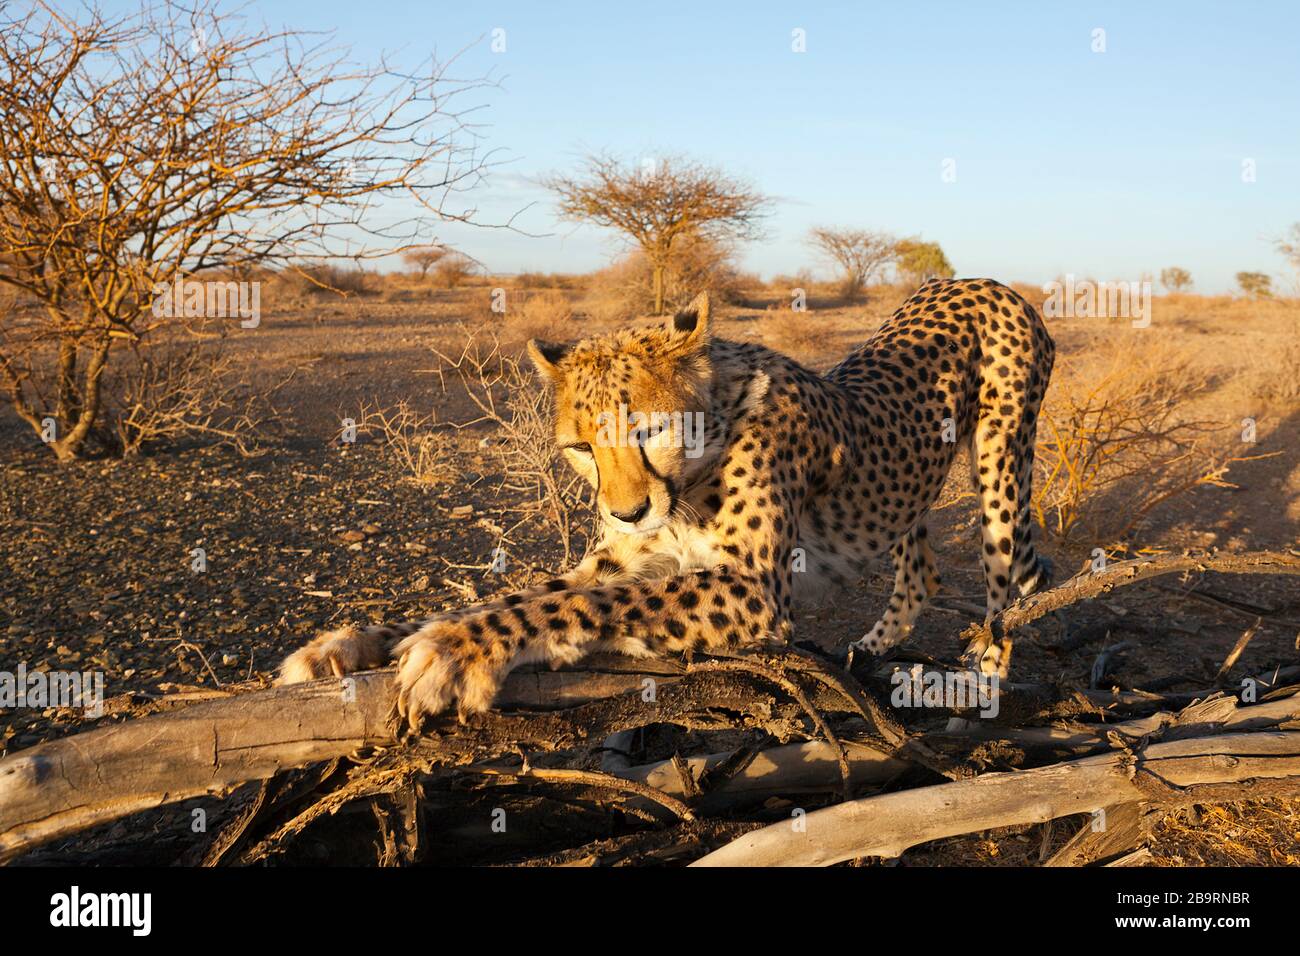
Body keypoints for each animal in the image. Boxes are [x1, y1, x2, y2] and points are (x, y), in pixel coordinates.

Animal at [279, 277, 1050, 723]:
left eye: (647, 430)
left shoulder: (753, 589)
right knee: (921, 568)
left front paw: (455, 651)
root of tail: (981, 280)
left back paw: (982, 681)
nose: (626, 512)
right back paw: (872, 647)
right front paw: (351, 645)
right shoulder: (623, 556)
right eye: (581, 448)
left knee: (1007, 580)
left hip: (1000, 465)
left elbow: (586, 603)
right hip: (910, 488)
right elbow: (529, 592)